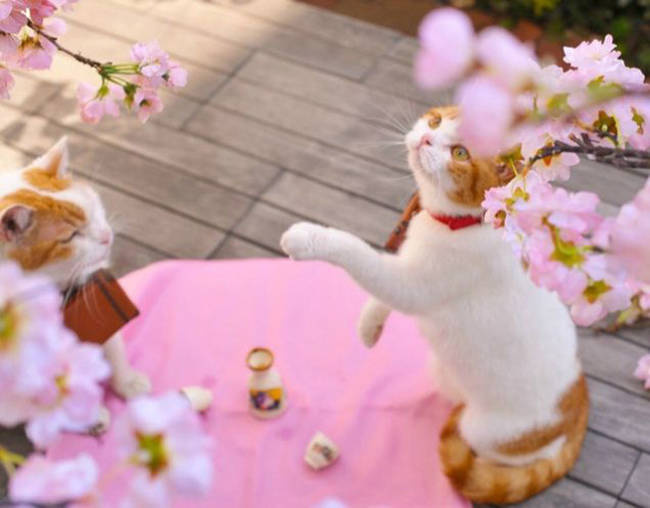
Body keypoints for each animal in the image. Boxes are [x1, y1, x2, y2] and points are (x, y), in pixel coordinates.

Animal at [278, 106, 588, 504]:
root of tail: (577, 401)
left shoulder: (411, 285)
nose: (426, 138)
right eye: (436, 122)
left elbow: (359, 254)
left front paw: (308, 238)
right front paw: (369, 325)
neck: (460, 223)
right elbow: (380, 293)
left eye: (460, 153)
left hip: (484, 430)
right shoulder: (406, 270)